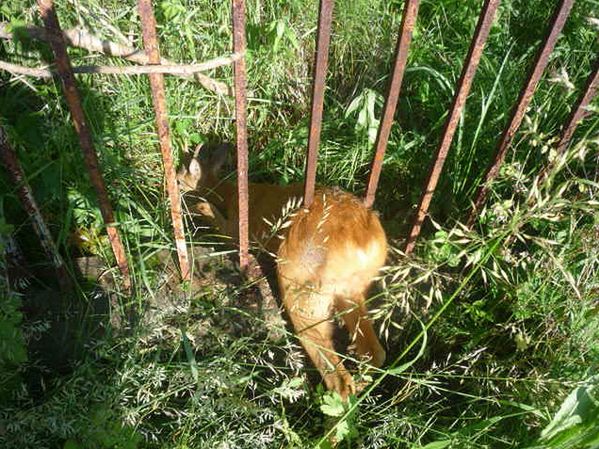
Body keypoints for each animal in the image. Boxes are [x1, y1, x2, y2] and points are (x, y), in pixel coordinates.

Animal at [176, 144, 386, 400]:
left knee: (337, 376)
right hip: (351, 288)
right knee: (375, 353)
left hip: (301, 280)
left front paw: (197, 208)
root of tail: (364, 243)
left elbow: (214, 217)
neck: (230, 193)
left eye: (178, 179)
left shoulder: (238, 229)